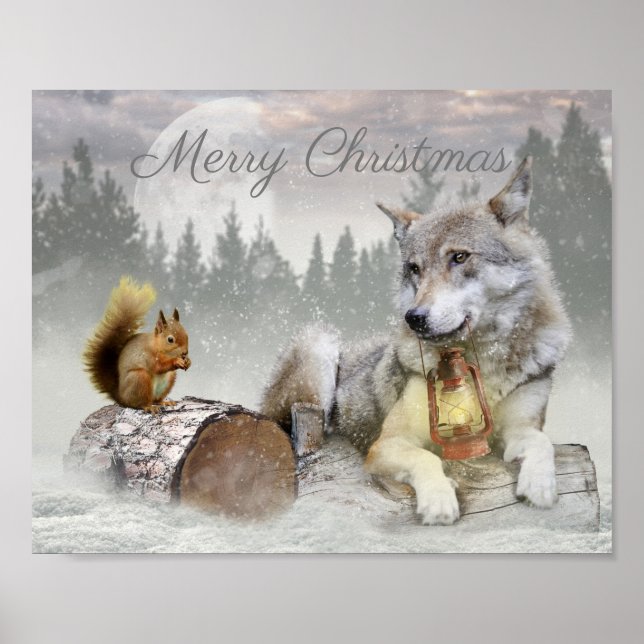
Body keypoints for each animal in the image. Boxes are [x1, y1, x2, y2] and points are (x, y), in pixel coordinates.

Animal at [83, 276, 191, 413]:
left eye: (186, 334)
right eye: (170, 339)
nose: (185, 353)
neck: (157, 346)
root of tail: (121, 397)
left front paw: (188, 361)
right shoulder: (148, 356)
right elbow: (159, 367)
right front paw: (176, 361)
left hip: (169, 379)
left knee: (156, 399)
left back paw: (164, 402)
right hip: (139, 378)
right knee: (138, 403)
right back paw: (149, 407)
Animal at [261, 157, 571, 525]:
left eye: (459, 257)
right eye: (414, 269)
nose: (414, 317)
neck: (480, 363)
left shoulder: (520, 426)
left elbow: (541, 442)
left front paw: (540, 487)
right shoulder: (389, 443)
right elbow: (428, 458)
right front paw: (439, 502)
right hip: (320, 344)